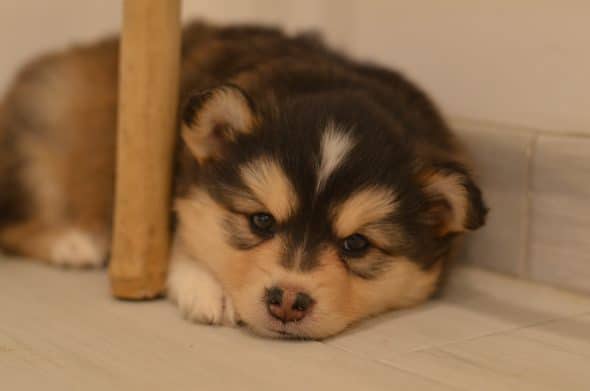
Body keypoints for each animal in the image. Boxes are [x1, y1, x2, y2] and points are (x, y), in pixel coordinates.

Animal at [0, 22, 488, 340]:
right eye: (261, 221)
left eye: (356, 245)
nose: (287, 301)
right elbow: (182, 237)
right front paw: (204, 287)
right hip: (48, 122)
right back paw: (74, 242)